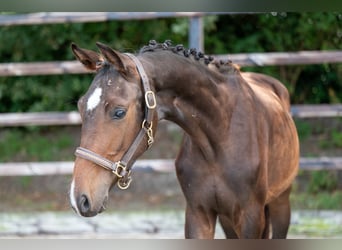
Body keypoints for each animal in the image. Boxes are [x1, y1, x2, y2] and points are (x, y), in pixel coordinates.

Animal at [69, 40, 300, 239]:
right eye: (80, 106)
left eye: (119, 112)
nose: (79, 198)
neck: (219, 138)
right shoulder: (198, 213)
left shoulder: (250, 217)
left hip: (281, 202)